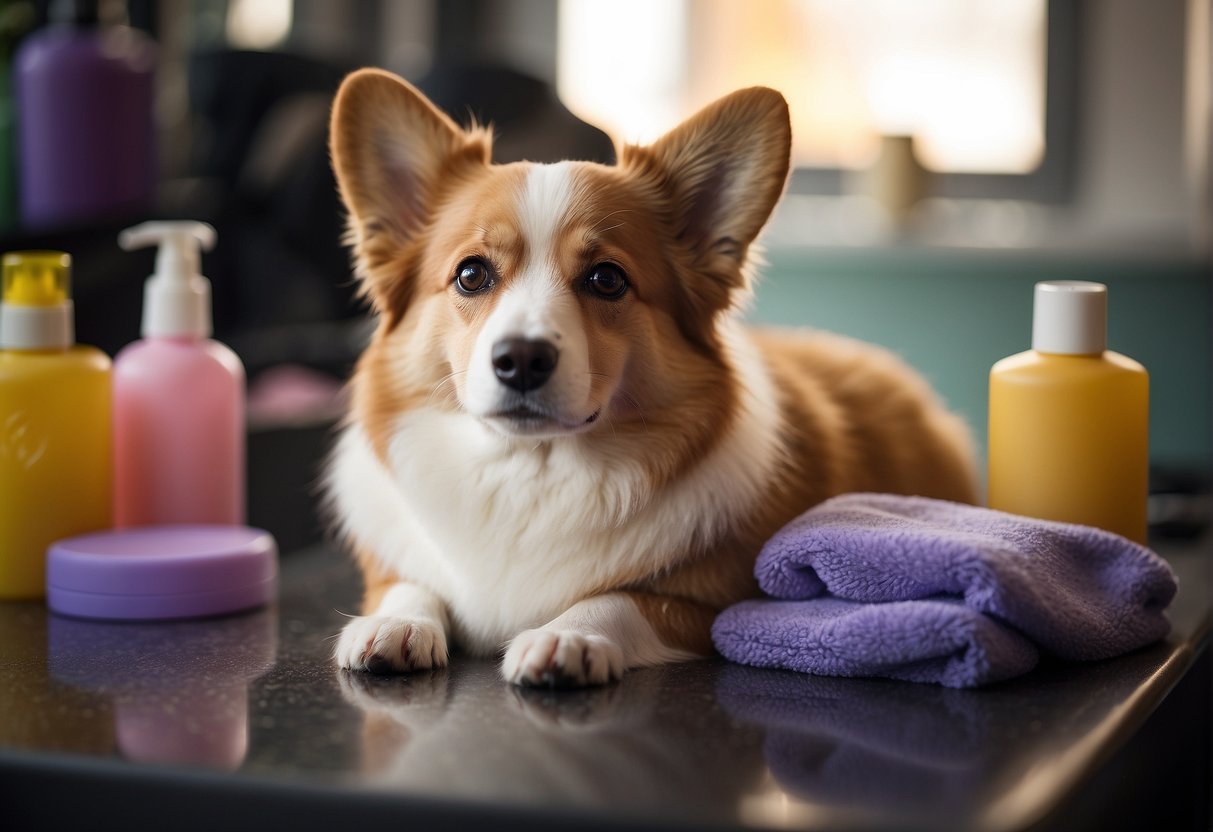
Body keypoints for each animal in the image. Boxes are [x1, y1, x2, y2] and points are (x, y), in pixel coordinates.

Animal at [325, 70, 975, 688]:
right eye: (471, 274)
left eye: (607, 280)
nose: (522, 359)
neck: (533, 470)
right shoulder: (395, 564)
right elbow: (409, 582)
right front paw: (395, 622)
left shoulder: (714, 607)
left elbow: (621, 598)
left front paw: (566, 637)